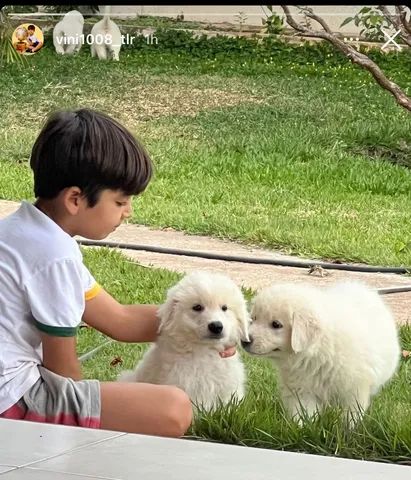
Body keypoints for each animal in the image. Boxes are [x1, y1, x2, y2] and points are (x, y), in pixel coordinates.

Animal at [243, 282, 400, 424]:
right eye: (254, 318)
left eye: (276, 324)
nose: (245, 341)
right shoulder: (302, 390)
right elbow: (303, 414)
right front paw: (302, 429)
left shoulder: (355, 388)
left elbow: (351, 416)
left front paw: (347, 432)